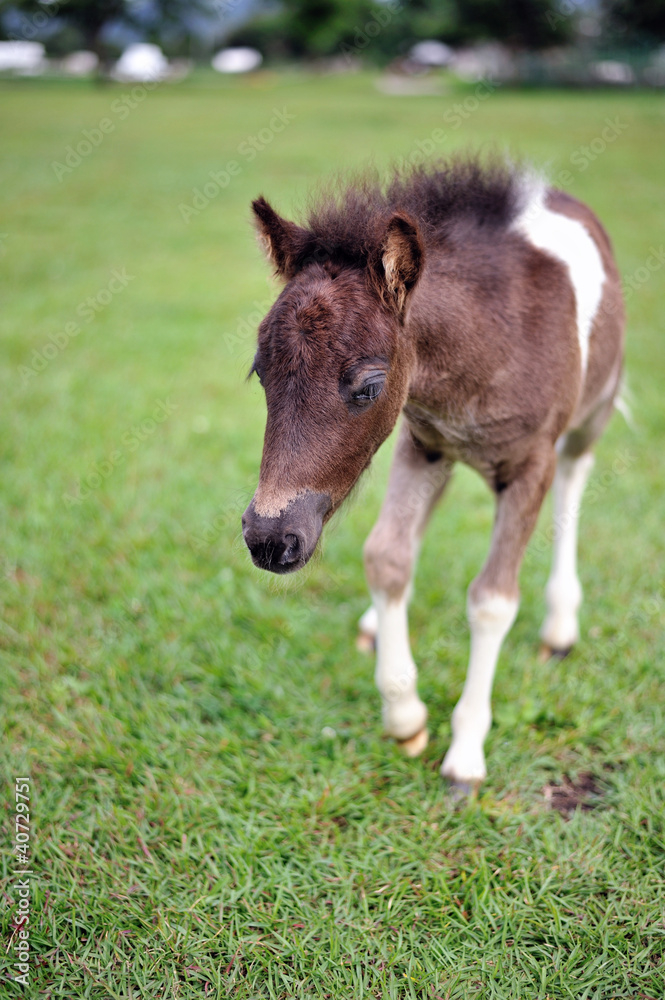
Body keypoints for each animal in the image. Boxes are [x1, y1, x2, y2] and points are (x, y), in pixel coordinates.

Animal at [241, 162, 624, 788]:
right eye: (260, 373)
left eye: (369, 386)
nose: (270, 539)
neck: (487, 344)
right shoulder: (421, 443)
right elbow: (387, 557)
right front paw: (405, 716)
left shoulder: (531, 464)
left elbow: (492, 599)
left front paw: (465, 754)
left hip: (592, 414)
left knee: (575, 478)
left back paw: (560, 625)